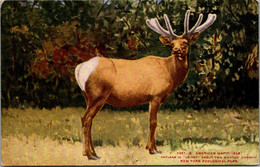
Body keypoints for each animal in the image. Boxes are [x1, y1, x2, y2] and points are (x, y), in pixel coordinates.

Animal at [75, 10, 217, 159]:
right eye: (172, 43)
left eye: (185, 42)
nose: (176, 50)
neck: (170, 73)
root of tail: (79, 69)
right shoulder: (156, 95)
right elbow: (153, 122)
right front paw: (153, 149)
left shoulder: (152, 98)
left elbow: (151, 121)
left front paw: (148, 147)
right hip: (98, 94)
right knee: (86, 118)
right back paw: (90, 154)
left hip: (87, 96)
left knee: (88, 119)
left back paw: (89, 152)